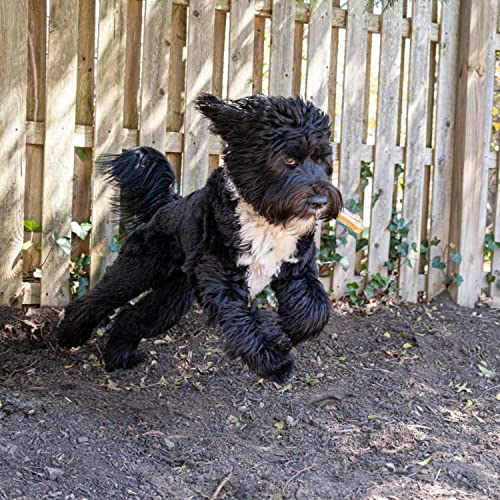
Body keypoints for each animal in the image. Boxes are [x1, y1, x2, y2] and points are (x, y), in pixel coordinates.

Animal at [55, 94, 344, 382]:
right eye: (289, 160)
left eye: (321, 159)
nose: (320, 201)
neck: (265, 220)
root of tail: (168, 204)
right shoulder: (226, 283)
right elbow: (244, 325)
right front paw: (274, 363)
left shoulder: (298, 272)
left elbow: (315, 311)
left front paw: (282, 332)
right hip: (138, 269)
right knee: (97, 300)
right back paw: (69, 335)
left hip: (174, 295)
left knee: (133, 316)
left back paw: (118, 357)